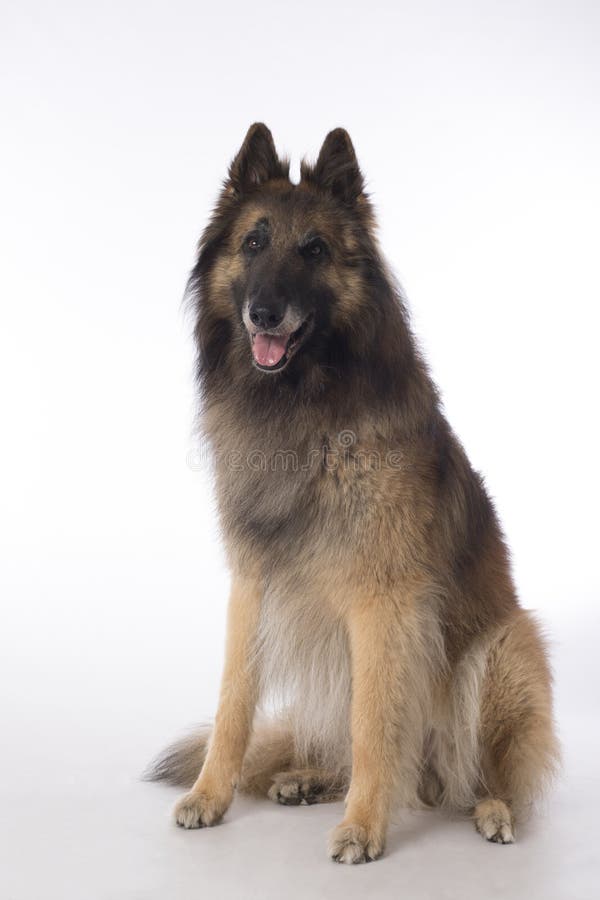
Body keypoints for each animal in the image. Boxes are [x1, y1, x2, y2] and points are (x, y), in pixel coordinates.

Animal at [148, 123, 560, 860]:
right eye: (253, 242)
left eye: (313, 250)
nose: (264, 312)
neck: (301, 407)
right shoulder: (251, 586)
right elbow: (233, 703)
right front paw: (210, 794)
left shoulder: (382, 604)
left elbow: (374, 724)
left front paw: (365, 826)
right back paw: (306, 777)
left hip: (505, 650)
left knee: (483, 771)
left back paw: (490, 809)